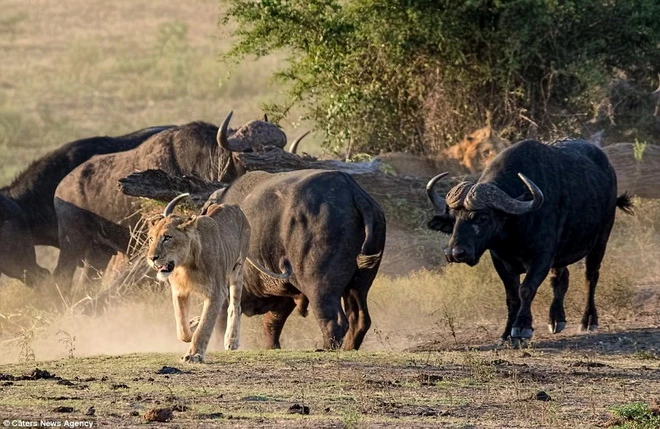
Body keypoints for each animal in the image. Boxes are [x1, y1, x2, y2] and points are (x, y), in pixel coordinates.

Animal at [202, 169, 386, 350]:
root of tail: (353, 192)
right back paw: (349, 348)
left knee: (334, 320)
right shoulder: (284, 293)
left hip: (320, 286)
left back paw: (325, 348)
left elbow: (221, 323)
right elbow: (272, 323)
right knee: (360, 320)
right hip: (359, 286)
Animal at [426, 139, 632, 346]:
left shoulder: (541, 257)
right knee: (561, 278)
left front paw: (521, 329)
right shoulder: (500, 261)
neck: (514, 230)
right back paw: (556, 319)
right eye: (453, 218)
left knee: (590, 277)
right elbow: (512, 297)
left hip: (601, 240)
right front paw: (506, 334)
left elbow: (525, 289)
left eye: (482, 218)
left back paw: (588, 320)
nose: (455, 253)